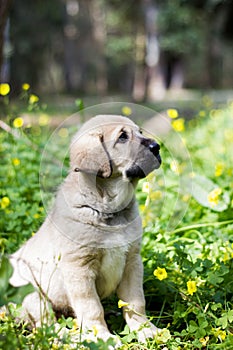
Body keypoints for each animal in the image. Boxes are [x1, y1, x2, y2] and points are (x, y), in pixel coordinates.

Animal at [9, 115, 162, 342]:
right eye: (123, 137)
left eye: (140, 131)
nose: (157, 146)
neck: (108, 209)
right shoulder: (79, 268)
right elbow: (92, 308)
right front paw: (103, 337)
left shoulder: (132, 261)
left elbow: (136, 302)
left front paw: (146, 330)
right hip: (32, 293)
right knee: (44, 325)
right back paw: (68, 336)